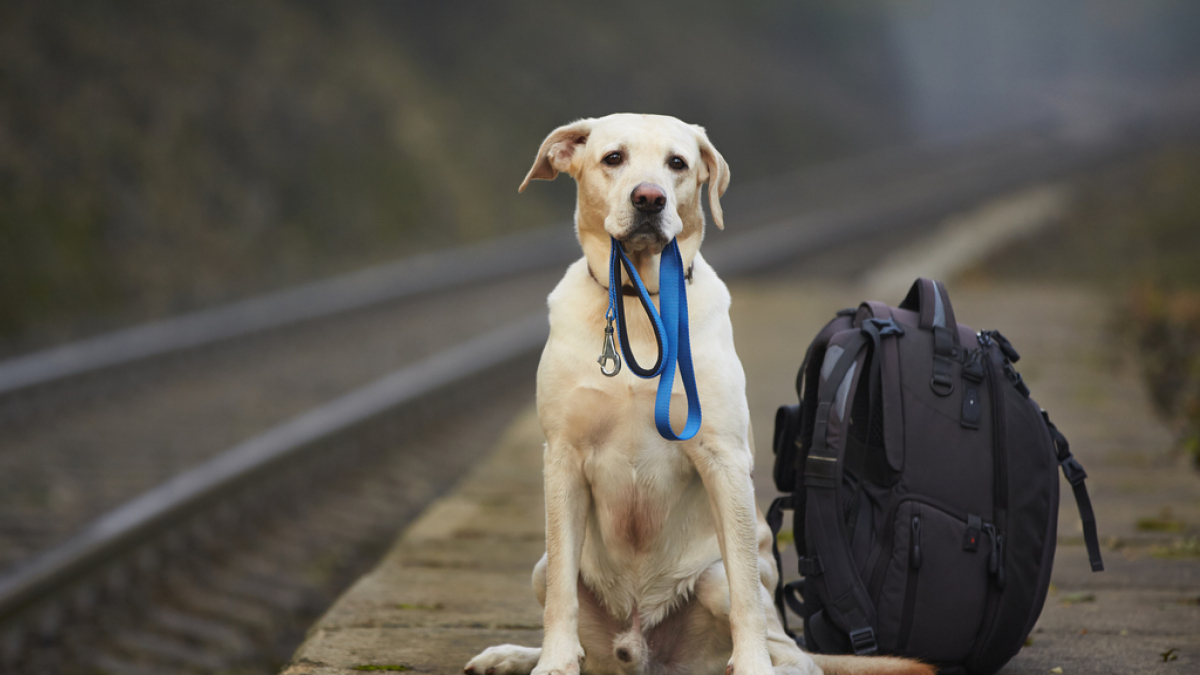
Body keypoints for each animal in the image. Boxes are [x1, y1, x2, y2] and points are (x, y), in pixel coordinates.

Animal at [460, 114, 926, 672]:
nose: (649, 198)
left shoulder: (723, 458)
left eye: (677, 163)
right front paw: (552, 663)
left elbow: (746, 594)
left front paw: (751, 665)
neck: (640, 302)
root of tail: (639, 647)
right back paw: (512, 655)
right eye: (613, 158)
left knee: (791, 648)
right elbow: (561, 597)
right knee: (576, 622)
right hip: (543, 566)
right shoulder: (563, 458)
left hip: (717, 580)